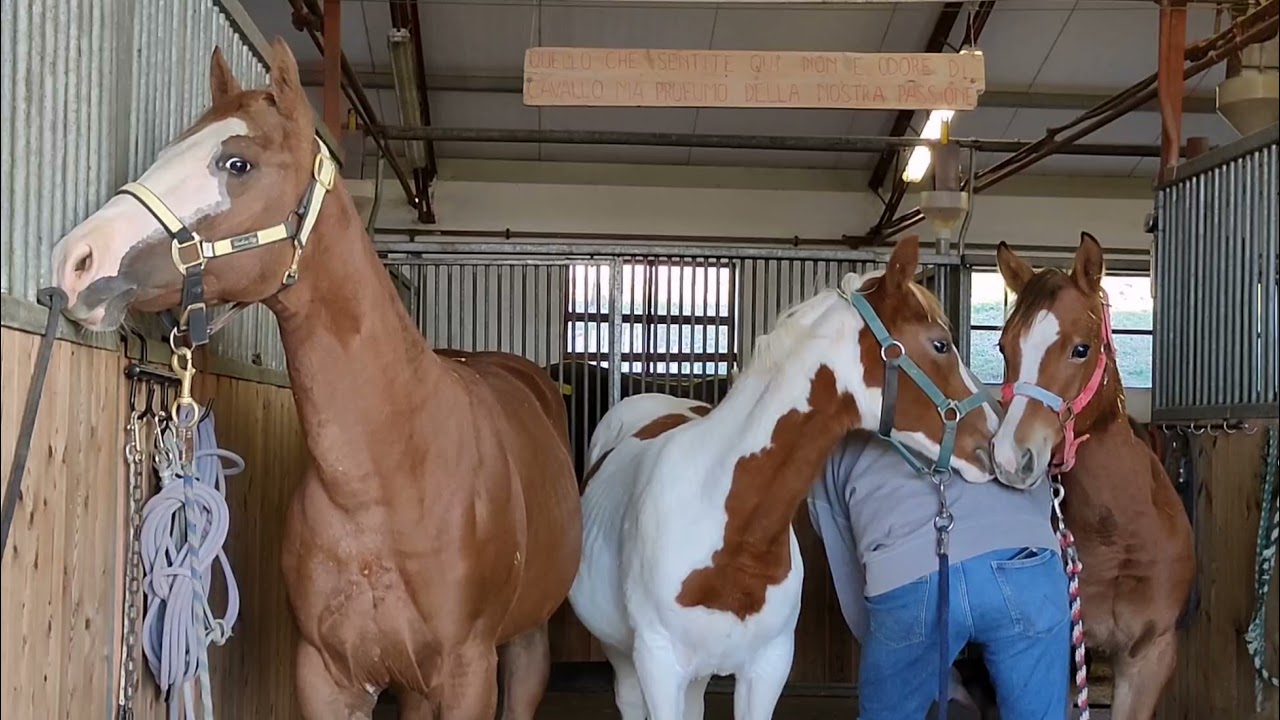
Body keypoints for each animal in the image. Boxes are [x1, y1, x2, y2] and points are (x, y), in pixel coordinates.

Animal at [48, 40, 581, 720]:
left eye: (238, 163)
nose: (75, 260)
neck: (385, 484)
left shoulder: (468, 676)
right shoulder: (328, 676)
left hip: (526, 642)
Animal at [567, 236, 999, 720]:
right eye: (940, 344)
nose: (995, 439)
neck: (732, 532)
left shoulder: (767, 668)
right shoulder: (660, 666)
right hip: (624, 658)